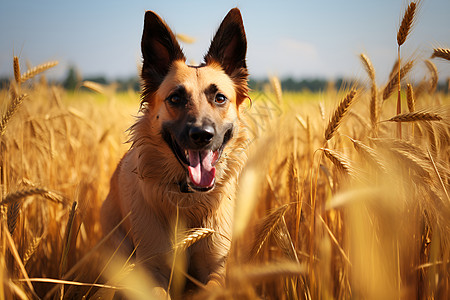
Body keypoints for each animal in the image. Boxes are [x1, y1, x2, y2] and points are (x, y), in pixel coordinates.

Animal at [100, 7, 250, 298]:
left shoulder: (214, 269)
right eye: (176, 98)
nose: (202, 135)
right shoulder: (153, 270)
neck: (188, 199)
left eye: (220, 98)